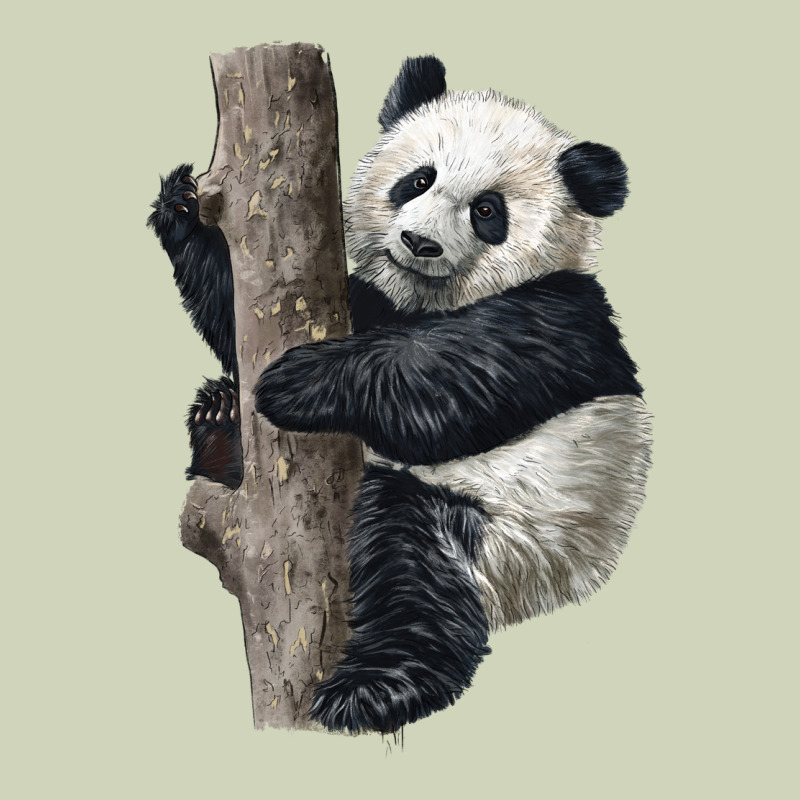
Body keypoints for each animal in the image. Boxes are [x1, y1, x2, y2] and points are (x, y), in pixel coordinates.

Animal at [149, 55, 651, 735]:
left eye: (487, 211)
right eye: (418, 179)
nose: (420, 244)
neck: (431, 299)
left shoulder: (559, 318)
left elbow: (443, 388)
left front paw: (296, 381)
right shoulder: (372, 301)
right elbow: (238, 319)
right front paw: (180, 208)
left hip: (510, 536)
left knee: (410, 565)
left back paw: (371, 692)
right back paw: (218, 426)